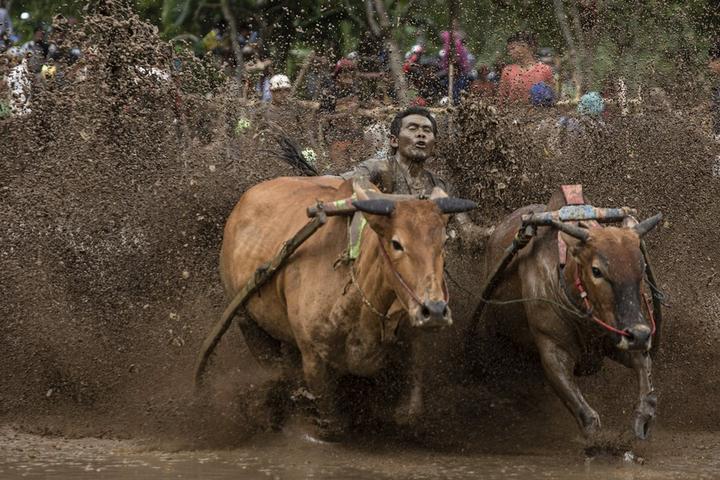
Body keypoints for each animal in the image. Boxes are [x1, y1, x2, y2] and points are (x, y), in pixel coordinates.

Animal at [218, 176, 476, 439]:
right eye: (396, 243)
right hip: (247, 322)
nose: (434, 311)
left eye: (443, 241)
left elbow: (409, 413)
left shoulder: (411, 345)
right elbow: (333, 425)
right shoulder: (313, 359)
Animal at [474, 188, 662, 440]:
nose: (640, 335)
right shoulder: (553, 350)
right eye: (596, 270)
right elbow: (587, 415)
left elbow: (643, 367)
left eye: (641, 268)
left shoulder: (615, 337)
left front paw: (643, 418)